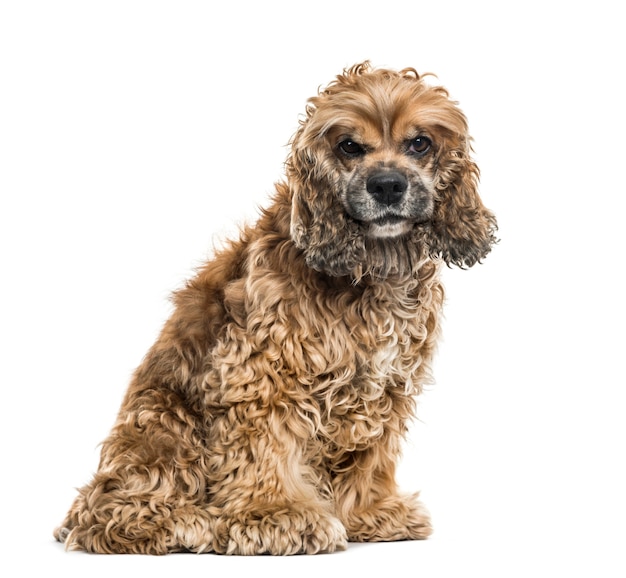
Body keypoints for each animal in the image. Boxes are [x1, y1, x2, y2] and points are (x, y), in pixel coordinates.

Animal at [53, 60, 494, 552]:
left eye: (420, 143)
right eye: (348, 146)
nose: (387, 185)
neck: (373, 268)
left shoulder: (386, 383)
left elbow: (371, 452)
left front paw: (370, 511)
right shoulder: (262, 369)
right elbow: (265, 446)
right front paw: (278, 515)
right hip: (163, 420)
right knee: (108, 513)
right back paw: (183, 523)